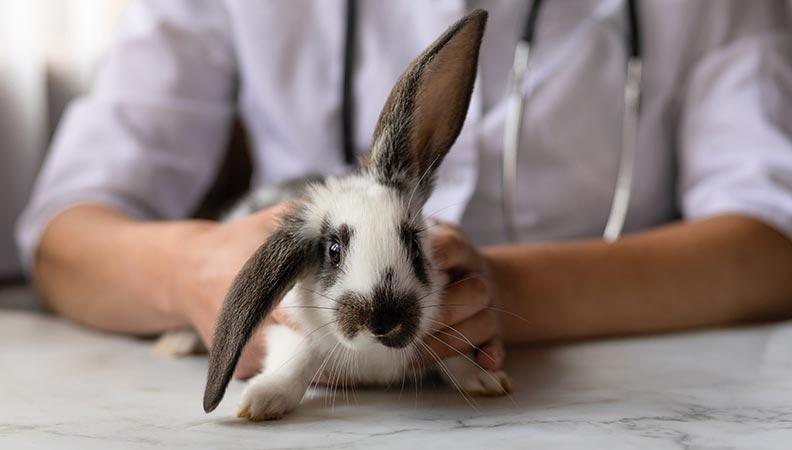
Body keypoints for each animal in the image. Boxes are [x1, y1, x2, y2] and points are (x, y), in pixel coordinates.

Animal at [202, 9, 510, 421]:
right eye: (333, 250)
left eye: (414, 245)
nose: (382, 320)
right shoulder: (290, 328)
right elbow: (297, 358)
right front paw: (261, 400)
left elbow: (454, 355)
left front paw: (485, 379)